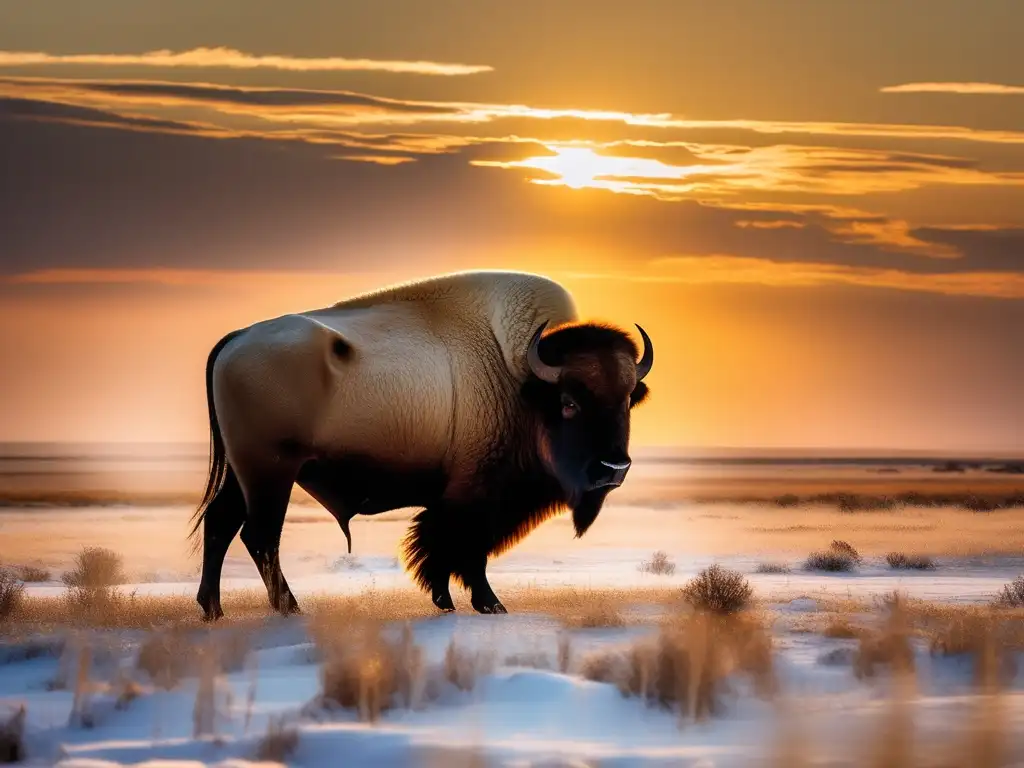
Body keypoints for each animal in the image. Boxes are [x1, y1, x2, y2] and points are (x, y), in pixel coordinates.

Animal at [191, 270, 651, 618]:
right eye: (569, 403)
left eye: (628, 399)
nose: (614, 468)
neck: (521, 382)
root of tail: (237, 337)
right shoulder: (476, 495)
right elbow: (463, 548)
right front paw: (488, 604)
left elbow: (445, 547)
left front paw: (449, 601)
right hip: (272, 471)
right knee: (259, 535)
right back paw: (289, 608)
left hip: (244, 473)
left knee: (221, 523)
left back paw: (213, 609)